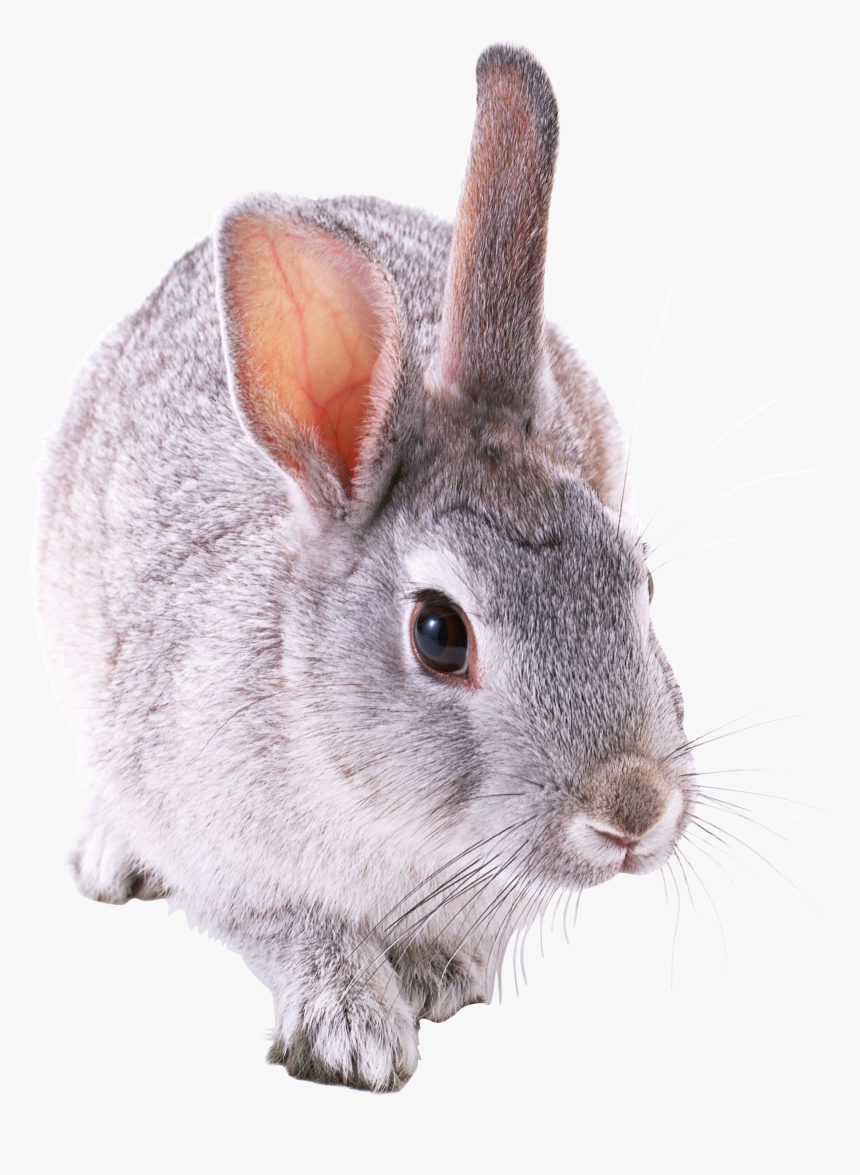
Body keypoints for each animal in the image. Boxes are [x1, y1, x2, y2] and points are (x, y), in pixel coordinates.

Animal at [35, 43, 693, 1092]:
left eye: (642, 584)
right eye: (438, 634)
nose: (634, 806)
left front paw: (435, 975)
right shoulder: (230, 859)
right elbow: (296, 929)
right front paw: (355, 1031)